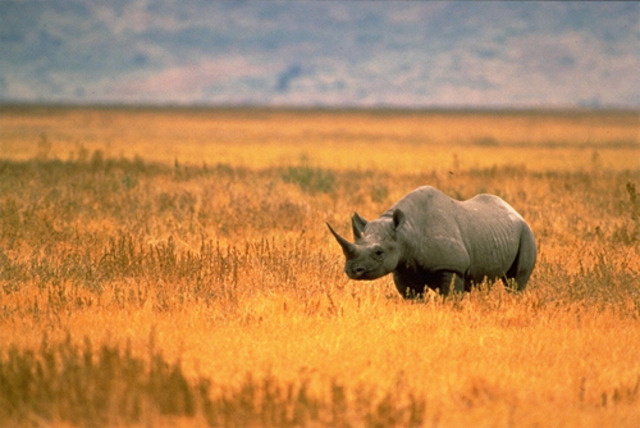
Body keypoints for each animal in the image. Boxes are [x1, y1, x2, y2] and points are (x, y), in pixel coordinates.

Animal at [327, 186, 536, 298]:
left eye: (379, 253)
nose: (353, 270)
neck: (406, 233)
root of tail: (515, 211)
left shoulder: (451, 267)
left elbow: (450, 296)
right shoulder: (402, 267)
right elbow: (413, 297)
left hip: (526, 232)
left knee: (515, 281)